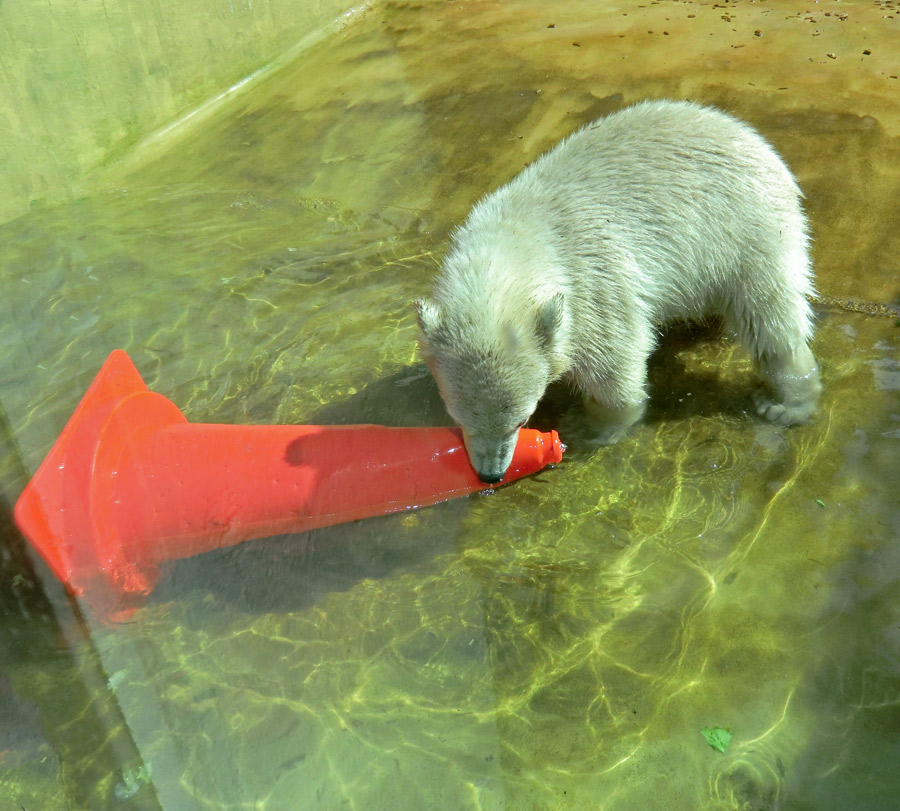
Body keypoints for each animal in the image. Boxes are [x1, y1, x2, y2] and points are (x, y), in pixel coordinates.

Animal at [414, 100, 824, 482]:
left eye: (520, 419)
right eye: (457, 415)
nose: (491, 474)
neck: (523, 235)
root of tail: (758, 143)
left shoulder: (596, 282)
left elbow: (615, 364)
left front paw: (589, 426)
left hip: (748, 232)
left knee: (769, 315)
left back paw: (785, 402)